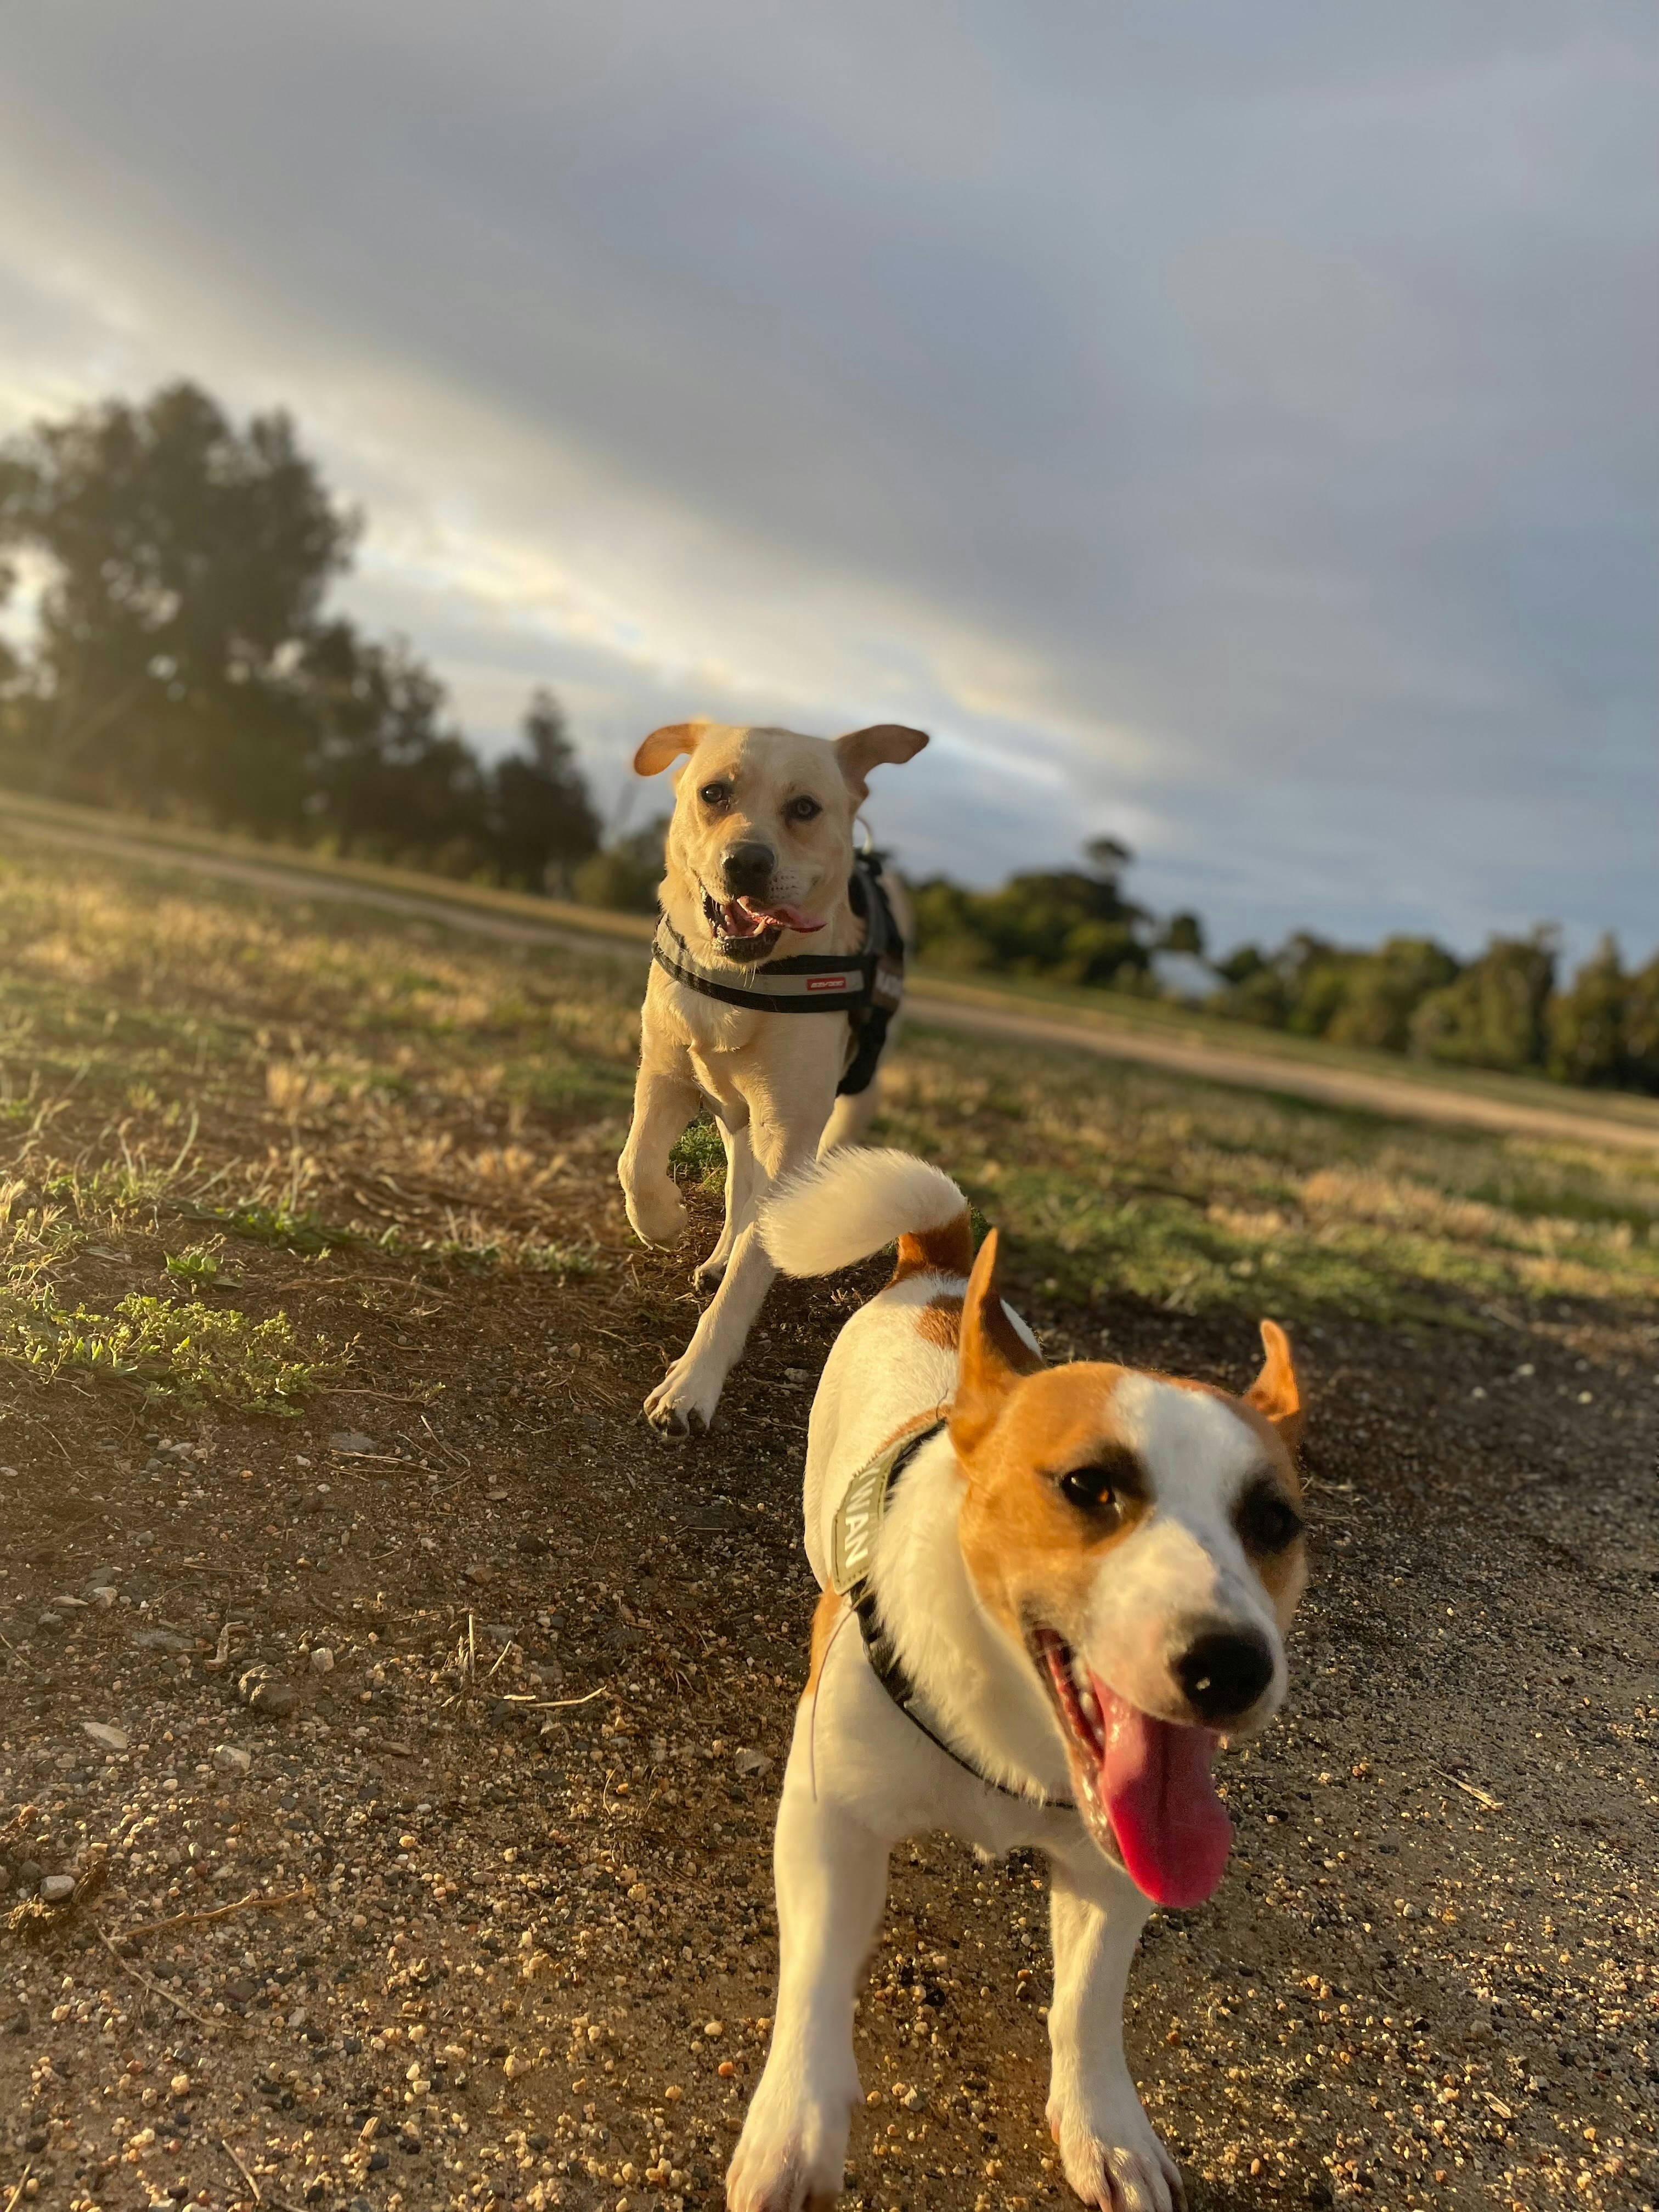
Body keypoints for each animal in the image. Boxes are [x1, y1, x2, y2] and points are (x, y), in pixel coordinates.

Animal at [619, 718, 928, 1437]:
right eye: (714, 792)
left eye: (805, 808)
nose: (748, 863)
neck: (743, 979)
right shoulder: (666, 1076)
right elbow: (636, 1164)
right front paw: (664, 1221)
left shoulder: (793, 1130)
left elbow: (748, 1277)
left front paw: (691, 1386)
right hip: (738, 1118)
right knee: (740, 1188)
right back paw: (716, 1252)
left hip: (845, 1100)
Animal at [726, 1148, 1308, 2212]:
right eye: (1088, 1486)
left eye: (1273, 1522)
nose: (1233, 1664)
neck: (1010, 1722)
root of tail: (940, 1272)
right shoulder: (831, 1819)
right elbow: (818, 1973)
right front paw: (795, 2127)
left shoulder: (1110, 1865)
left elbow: (1086, 2007)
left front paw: (1104, 2130)